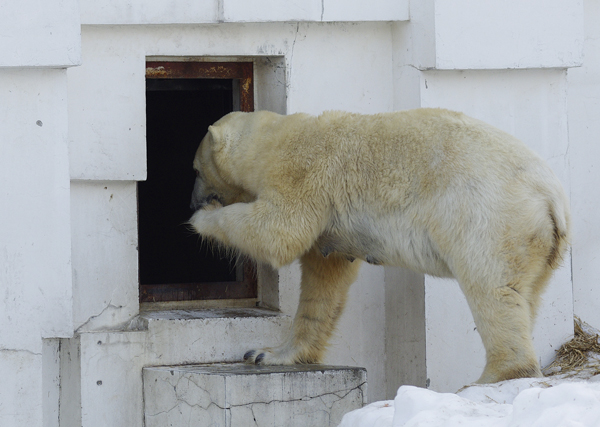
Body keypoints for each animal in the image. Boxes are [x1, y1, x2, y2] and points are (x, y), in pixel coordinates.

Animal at [190, 109, 568, 384]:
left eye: (194, 169)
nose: (193, 199)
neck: (272, 140)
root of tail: (551, 197)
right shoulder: (333, 227)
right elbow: (323, 281)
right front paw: (268, 353)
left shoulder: (304, 173)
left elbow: (277, 231)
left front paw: (202, 219)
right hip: (537, 243)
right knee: (526, 295)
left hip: (488, 216)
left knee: (492, 289)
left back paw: (490, 377)